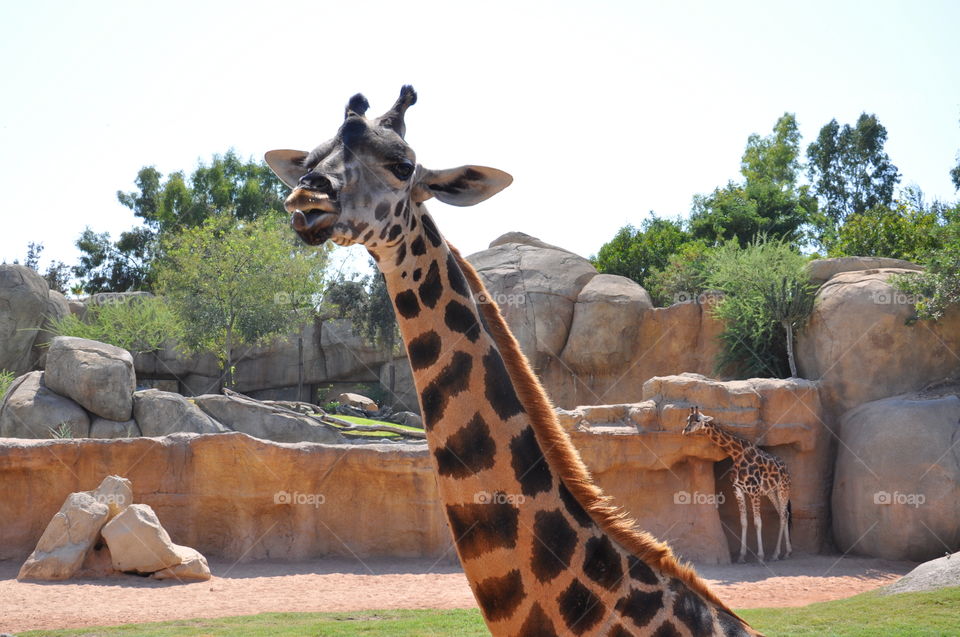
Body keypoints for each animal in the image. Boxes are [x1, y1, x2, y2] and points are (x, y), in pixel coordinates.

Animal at [682, 407, 792, 564]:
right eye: (687, 419)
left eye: (697, 420)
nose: (685, 430)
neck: (737, 454)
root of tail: (787, 468)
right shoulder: (738, 490)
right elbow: (744, 521)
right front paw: (741, 556)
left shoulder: (754, 490)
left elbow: (757, 522)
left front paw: (760, 556)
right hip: (771, 491)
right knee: (783, 513)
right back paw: (782, 553)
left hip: (784, 488)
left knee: (783, 515)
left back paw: (779, 553)